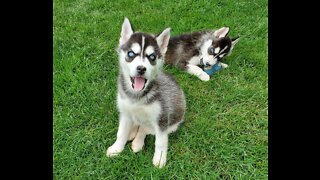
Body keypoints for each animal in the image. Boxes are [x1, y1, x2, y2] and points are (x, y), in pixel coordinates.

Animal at [106, 17, 186, 168]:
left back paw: (137, 142)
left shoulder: (162, 118)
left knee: (145, 128)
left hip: (172, 124)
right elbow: (121, 133)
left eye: (152, 57)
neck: (137, 96)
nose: (141, 68)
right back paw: (132, 133)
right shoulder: (125, 112)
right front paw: (116, 148)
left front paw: (160, 158)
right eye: (131, 54)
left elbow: (160, 141)